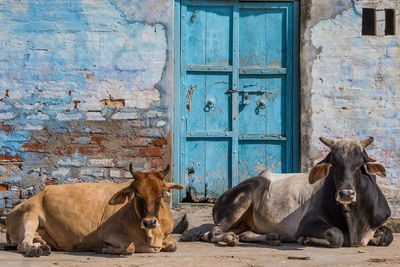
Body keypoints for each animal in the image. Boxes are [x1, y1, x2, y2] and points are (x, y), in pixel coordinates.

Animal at [5, 164, 184, 258]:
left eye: (161, 194)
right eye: (137, 194)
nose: (150, 222)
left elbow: (173, 245)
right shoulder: (106, 231)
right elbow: (130, 247)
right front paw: (102, 247)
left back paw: (43, 247)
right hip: (29, 215)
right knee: (23, 244)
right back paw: (36, 250)